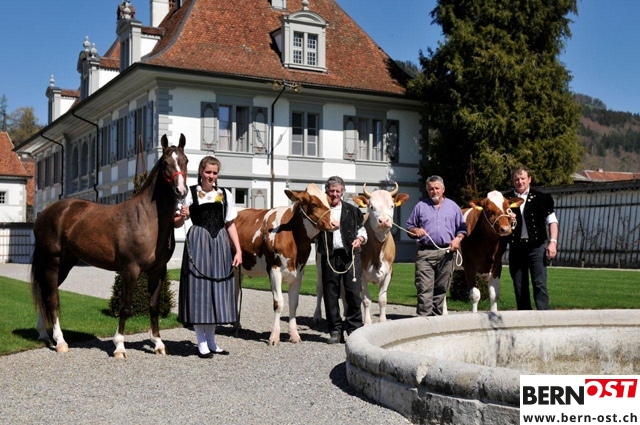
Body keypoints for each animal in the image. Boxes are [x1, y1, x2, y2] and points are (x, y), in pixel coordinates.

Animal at [31, 134, 188, 358]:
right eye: (166, 163)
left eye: (186, 161)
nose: (181, 190)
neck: (147, 218)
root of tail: (45, 214)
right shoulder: (130, 270)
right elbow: (125, 308)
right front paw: (119, 346)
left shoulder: (158, 271)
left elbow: (154, 306)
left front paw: (158, 343)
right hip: (52, 262)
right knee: (51, 298)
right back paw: (60, 341)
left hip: (65, 264)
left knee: (45, 293)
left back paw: (44, 333)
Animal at [234, 183, 338, 346]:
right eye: (314, 204)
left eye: (329, 202)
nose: (335, 223)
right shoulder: (274, 270)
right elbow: (279, 303)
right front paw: (274, 337)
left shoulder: (299, 272)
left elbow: (293, 303)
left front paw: (294, 335)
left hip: (238, 270)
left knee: (235, 293)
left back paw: (236, 325)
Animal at [313, 183, 409, 325]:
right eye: (371, 207)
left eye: (392, 206)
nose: (384, 221)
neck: (377, 254)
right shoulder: (361, 274)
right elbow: (366, 300)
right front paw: (367, 323)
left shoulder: (389, 272)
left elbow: (382, 300)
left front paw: (383, 321)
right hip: (320, 264)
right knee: (320, 288)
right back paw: (317, 315)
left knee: (344, 291)